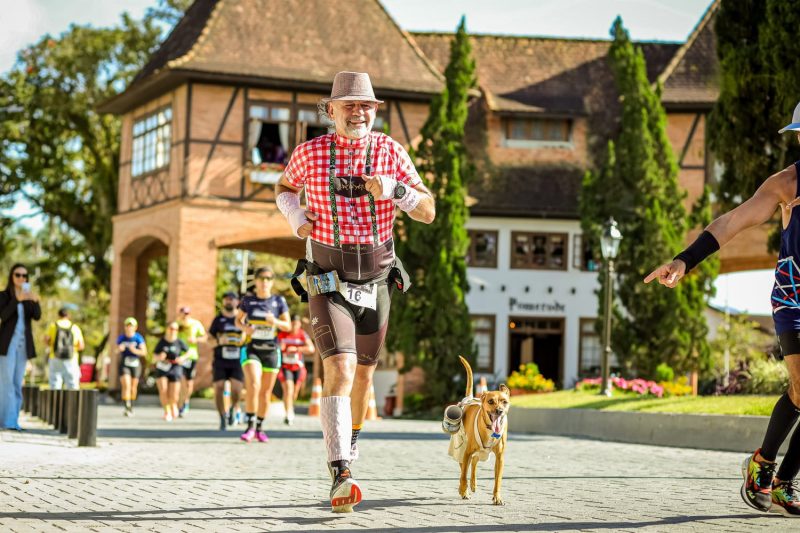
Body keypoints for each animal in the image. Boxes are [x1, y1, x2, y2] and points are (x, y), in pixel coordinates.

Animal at [450, 356, 512, 504]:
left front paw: (497, 497)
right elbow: (463, 475)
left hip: (482, 454)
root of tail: (469, 398)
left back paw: (473, 484)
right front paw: (463, 490)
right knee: (464, 467)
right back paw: (464, 489)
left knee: (474, 463)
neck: (490, 429)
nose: (499, 411)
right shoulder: (466, 452)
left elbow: (498, 480)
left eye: (504, 401)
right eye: (491, 401)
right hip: (462, 448)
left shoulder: (500, 458)